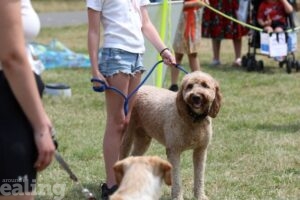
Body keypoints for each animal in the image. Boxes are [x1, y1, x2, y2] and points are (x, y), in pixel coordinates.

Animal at [120, 71, 223, 199]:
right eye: (189, 86)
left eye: (205, 85)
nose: (196, 97)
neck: (192, 118)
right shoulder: (174, 151)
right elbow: (176, 178)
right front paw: (177, 197)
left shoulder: (201, 150)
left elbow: (199, 176)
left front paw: (200, 196)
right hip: (127, 136)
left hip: (143, 139)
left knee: (134, 156)